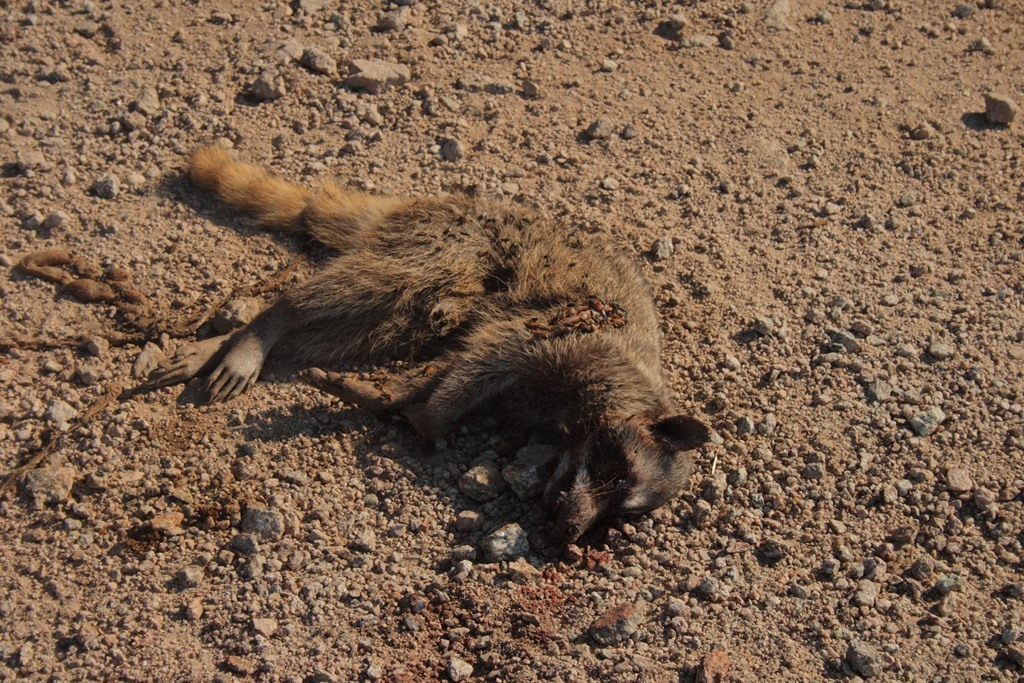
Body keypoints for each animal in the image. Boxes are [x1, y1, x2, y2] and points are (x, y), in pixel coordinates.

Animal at [148, 146, 710, 543]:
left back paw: (229, 343)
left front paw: (388, 394)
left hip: (420, 299)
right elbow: (481, 362)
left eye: (620, 514)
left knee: (351, 331)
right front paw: (424, 417)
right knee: (367, 285)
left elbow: (446, 368)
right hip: (447, 244)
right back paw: (267, 324)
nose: (570, 534)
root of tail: (431, 202)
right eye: (618, 476)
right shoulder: (565, 337)